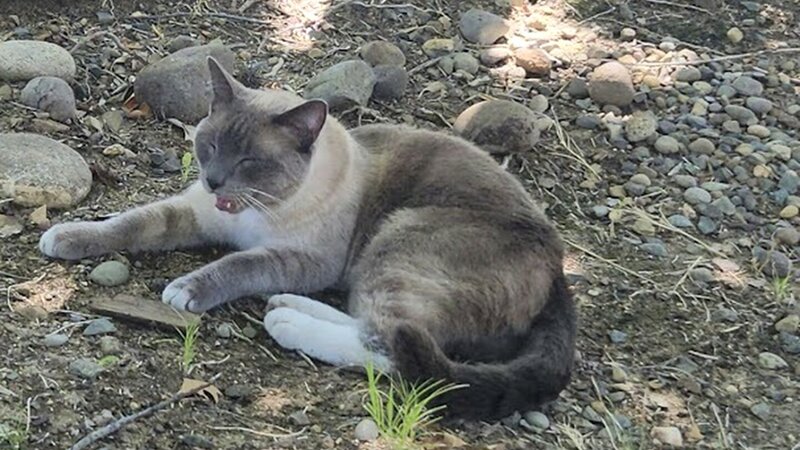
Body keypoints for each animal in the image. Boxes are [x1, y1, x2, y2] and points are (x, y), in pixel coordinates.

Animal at [39, 57, 577, 420]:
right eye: (209, 145)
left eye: (249, 161)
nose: (213, 180)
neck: (250, 213)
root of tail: (558, 267)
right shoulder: (194, 213)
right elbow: (129, 224)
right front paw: (64, 236)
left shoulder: (301, 259)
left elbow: (236, 265)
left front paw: (186, 290)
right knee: (378, 325)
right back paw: (288, 306)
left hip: (397, 241)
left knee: (394, 347)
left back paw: (287, 322)